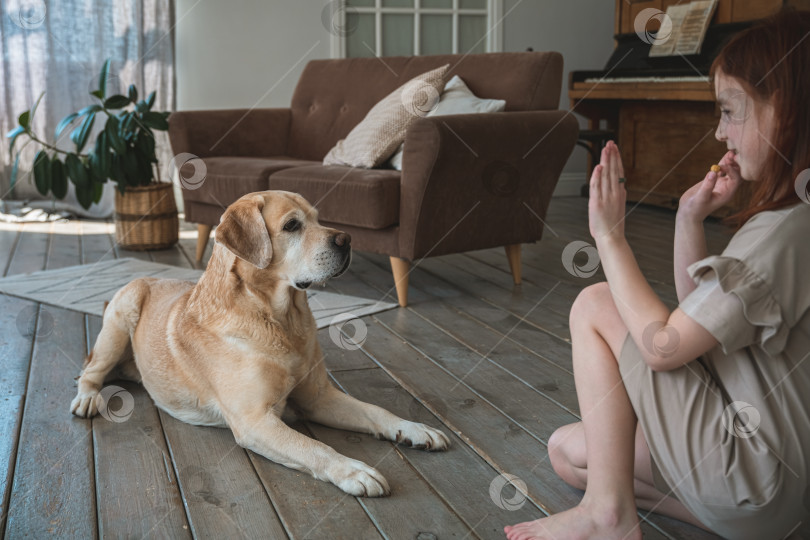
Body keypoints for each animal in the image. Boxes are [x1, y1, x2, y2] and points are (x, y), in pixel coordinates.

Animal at [69, 191, 448, 498]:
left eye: (318, 218)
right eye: (292, 225)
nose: (347, 239)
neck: (281, 319)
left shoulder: (318, 398)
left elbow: (375, 411)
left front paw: (415, 429)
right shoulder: (255, 420)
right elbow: (313, 446)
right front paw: (353, 470)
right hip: (121, 318)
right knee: (90, 371)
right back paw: (87, 398)